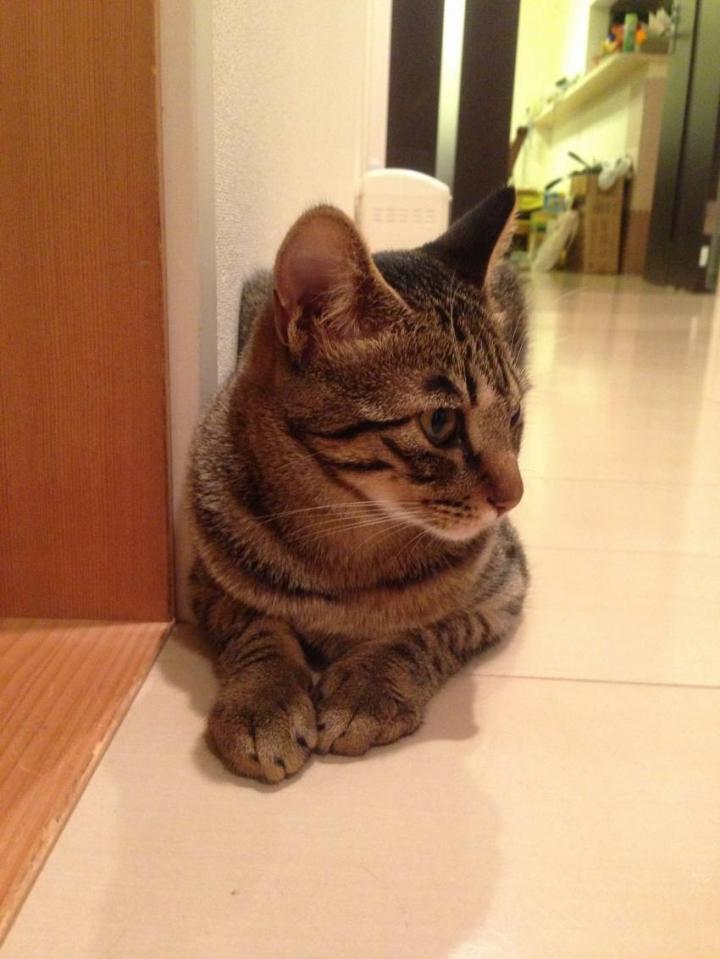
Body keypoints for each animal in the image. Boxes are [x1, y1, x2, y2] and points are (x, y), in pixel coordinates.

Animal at [188, 186, 529, 784]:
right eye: (440, 423)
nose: (514, 497)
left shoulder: (504, 591)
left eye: (514, 417)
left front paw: (369, 689)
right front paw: (264, 703)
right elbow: (259, 629)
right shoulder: (205, 583)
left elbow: (427, 632)